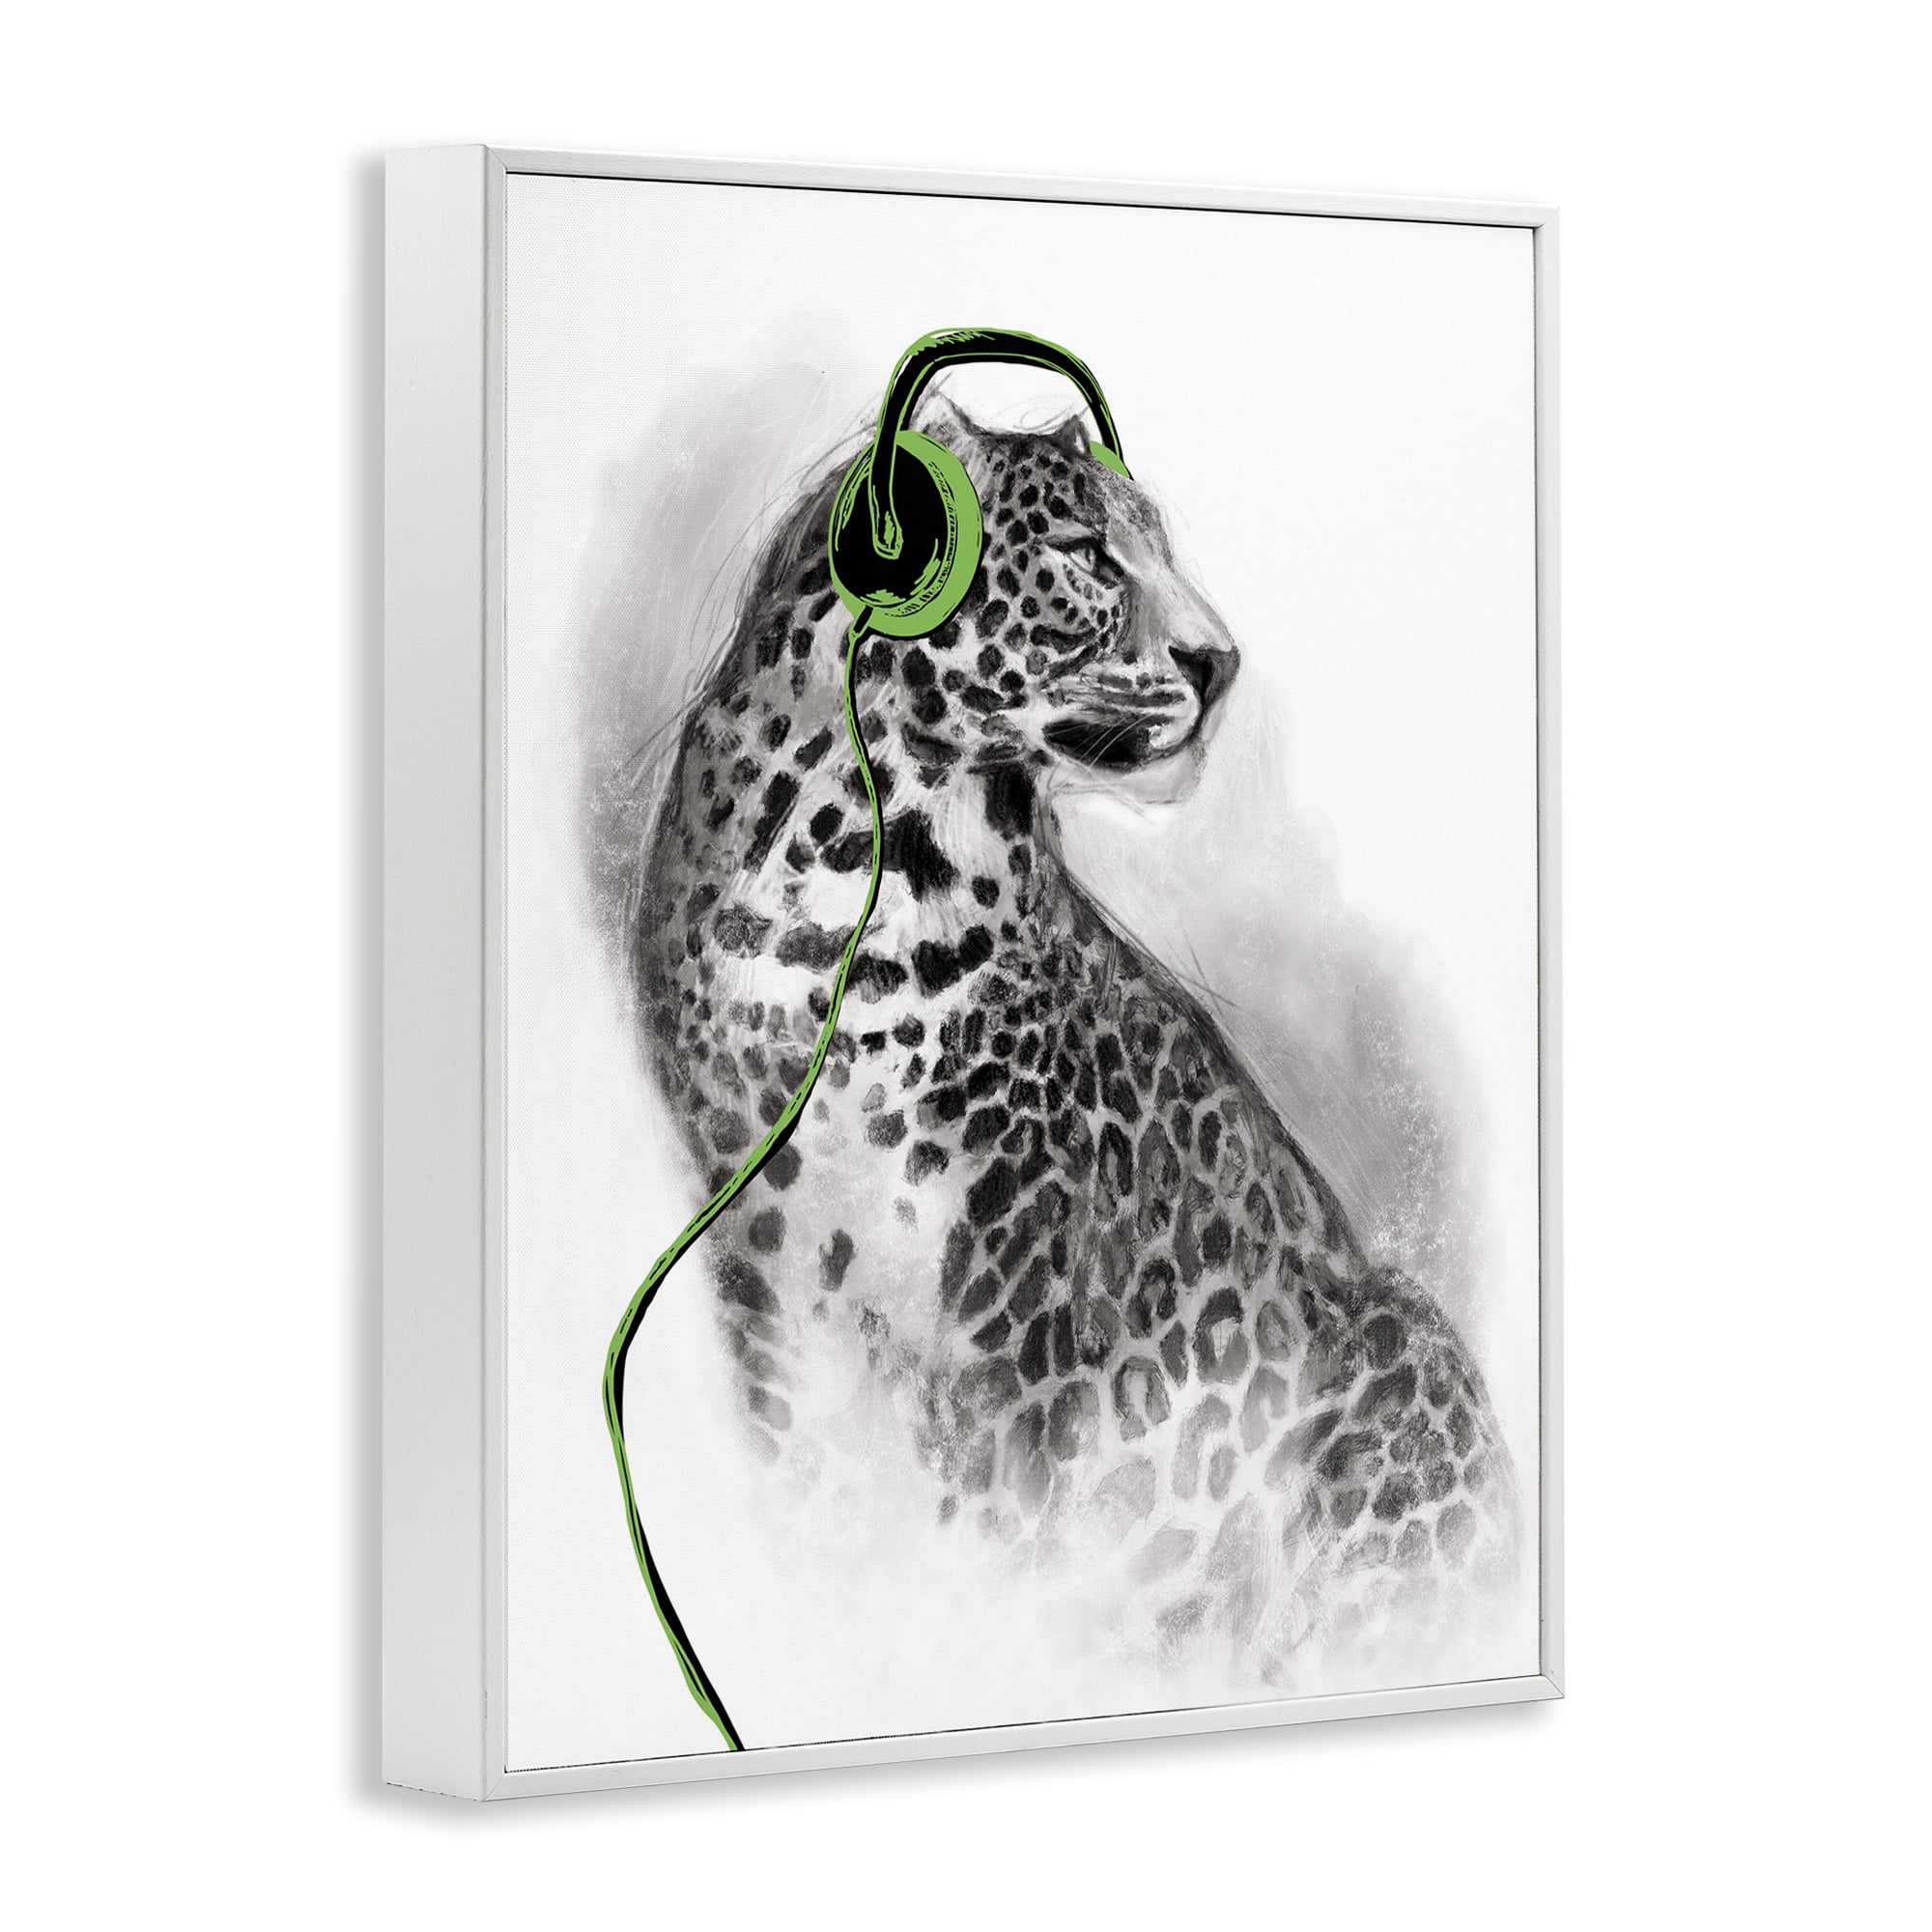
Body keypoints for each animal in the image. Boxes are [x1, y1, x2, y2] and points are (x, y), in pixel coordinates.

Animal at [622, 392, 1520, 1692]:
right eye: (1089, 554)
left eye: (1160, 547)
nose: (1219, 662)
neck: (850, 860)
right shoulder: (754, 1252)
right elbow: (815, 1490)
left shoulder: (1016, 1278)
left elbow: (986, 1531)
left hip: (1400, 1358)